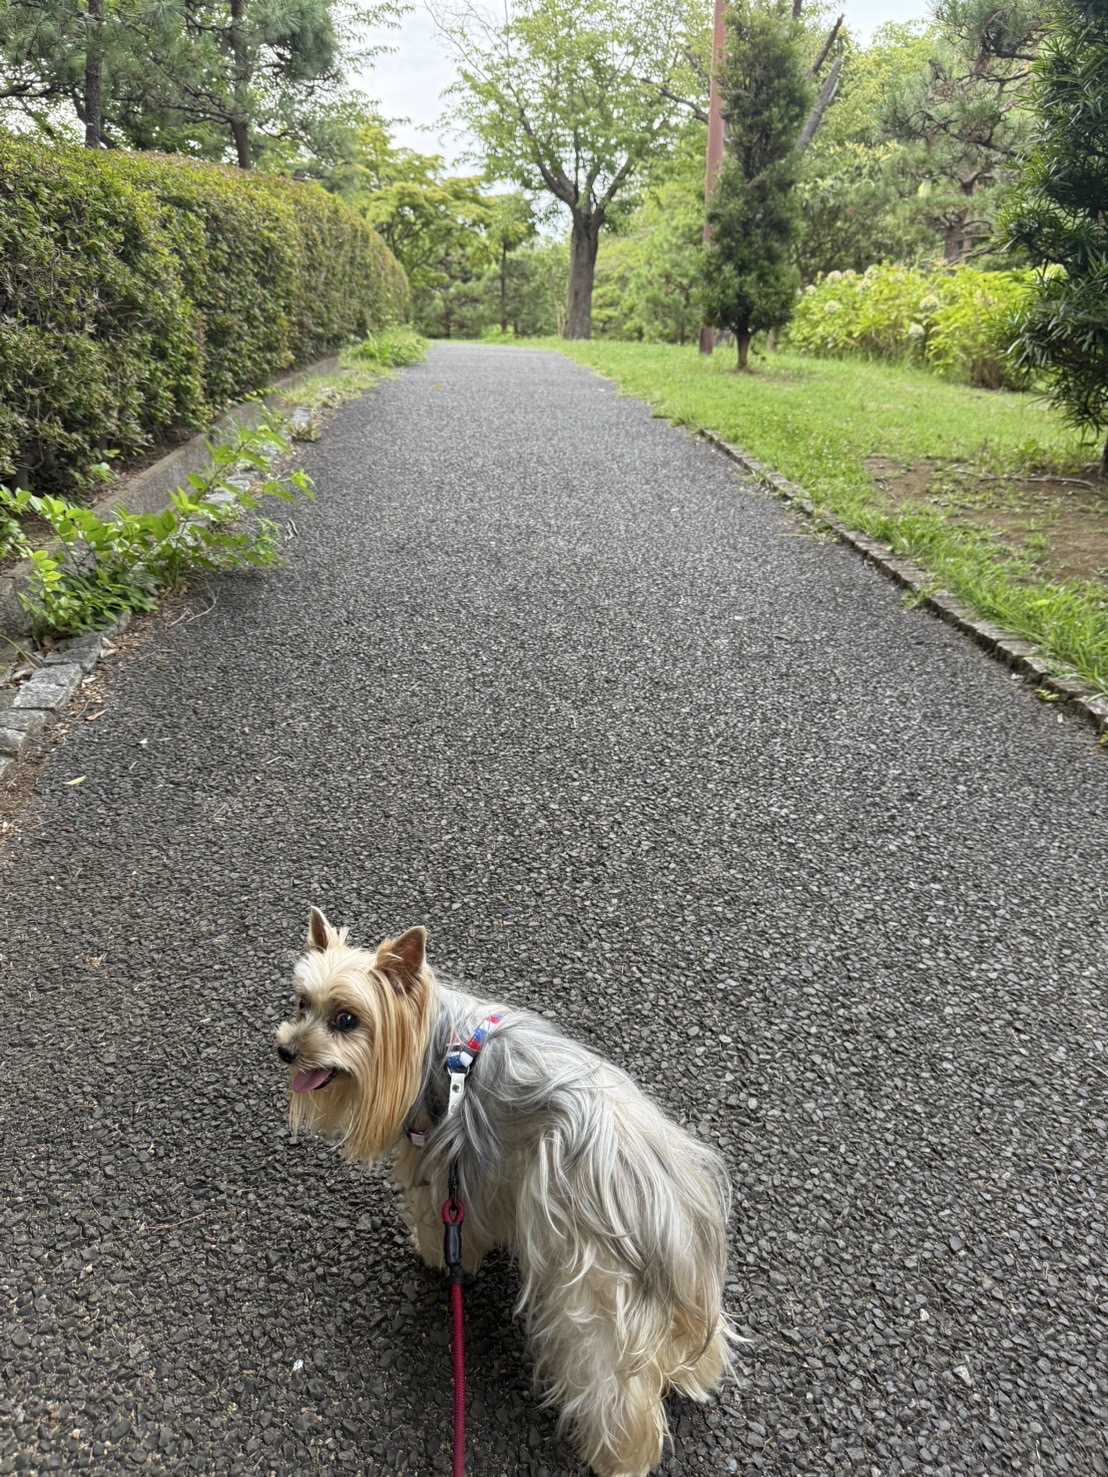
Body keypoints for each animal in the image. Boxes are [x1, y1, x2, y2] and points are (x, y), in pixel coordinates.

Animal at [276, 910, 735, 1476]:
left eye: (346, 1020)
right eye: (302, 1004)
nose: (286, 1049)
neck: (436, 1045)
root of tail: (668, 1209)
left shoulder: (448, 1162)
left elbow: (443, 1222)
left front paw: (436, 1256)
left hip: (590, 1292)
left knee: (614, 1391)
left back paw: (619, 1459)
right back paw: (698, 1375)